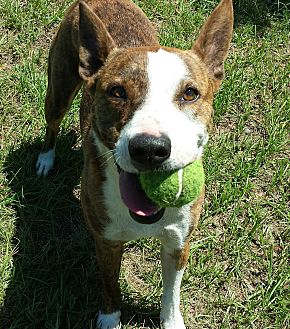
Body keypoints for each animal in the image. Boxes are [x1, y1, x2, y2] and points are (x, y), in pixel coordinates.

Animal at [36, 1, 233, 326]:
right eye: (117, 91)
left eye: (190, 93)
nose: (150, 149)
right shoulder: (106, 241)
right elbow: (109, 283)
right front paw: (109, 318)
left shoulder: (178, 244)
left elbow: (171, 293)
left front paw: (171, 321)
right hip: (59, 88)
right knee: (52, 122)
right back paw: (46, 159)